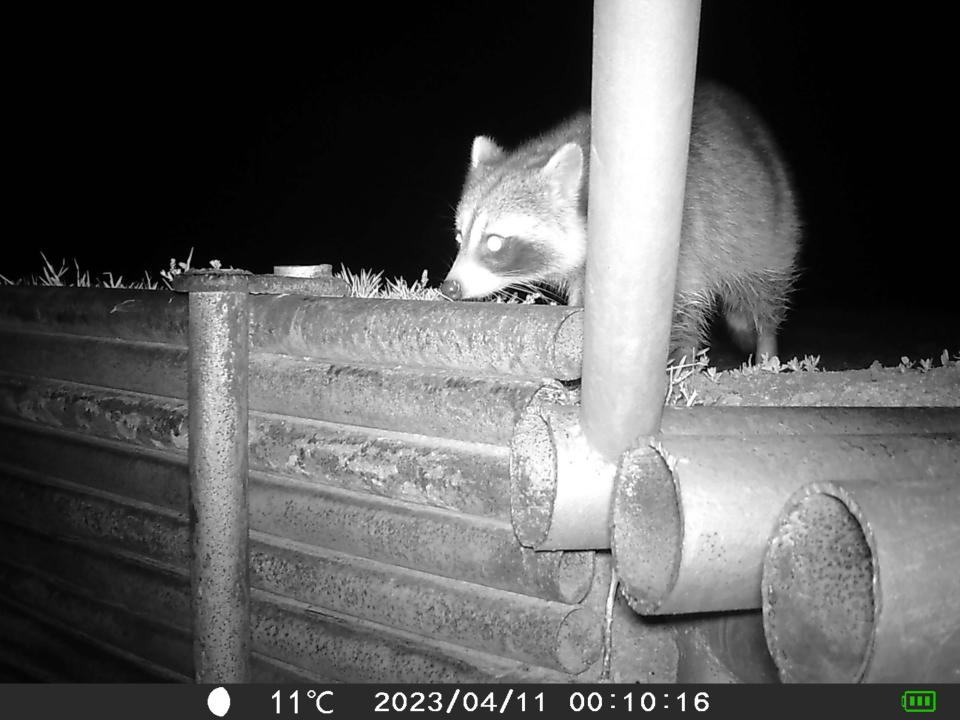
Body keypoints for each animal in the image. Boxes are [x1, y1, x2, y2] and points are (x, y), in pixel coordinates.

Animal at [444, 81, 804, 360]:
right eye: (460, 237)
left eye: (494, 242)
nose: (450, 287)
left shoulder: (680, 241)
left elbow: (683, 309)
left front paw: (679, 364)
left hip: (767, 230)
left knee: (763, 297)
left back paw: (767, 349)